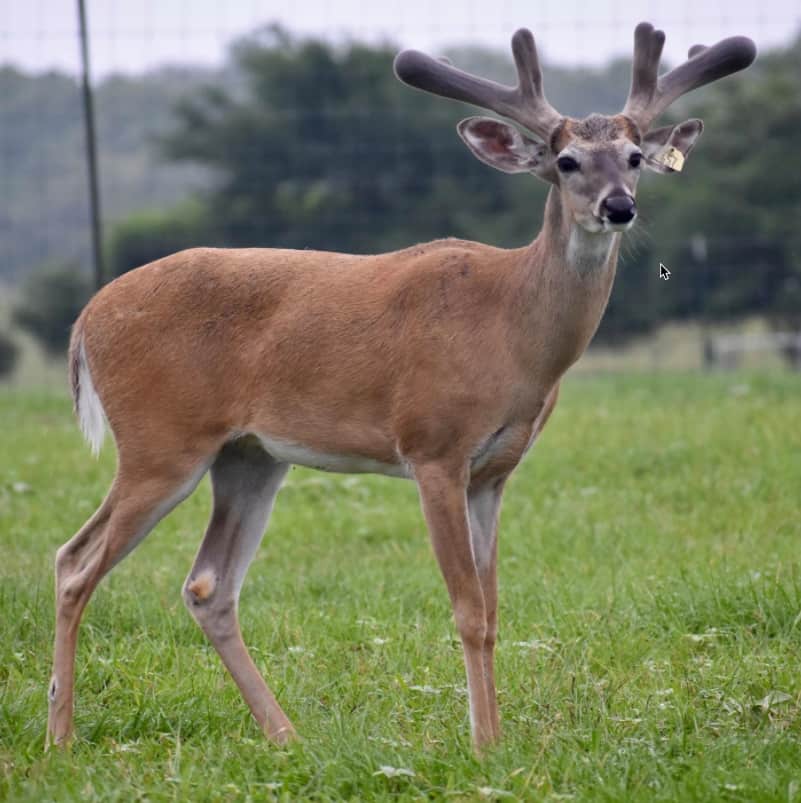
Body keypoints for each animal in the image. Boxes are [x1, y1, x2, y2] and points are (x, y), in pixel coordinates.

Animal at [47, 22, 756, 754]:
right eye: (566, 162)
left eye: (635, 156)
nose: (618, 206)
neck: (512, 329)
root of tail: (86, 320)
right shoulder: (433, 446)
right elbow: (467, 607)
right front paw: (483, 745)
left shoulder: (494, 472)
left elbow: (493, 606)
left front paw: (496, 736)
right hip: (161, 441)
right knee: (74, 562)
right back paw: (61, 736)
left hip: (249, 456)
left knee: (207, 584)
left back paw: (286, 734)